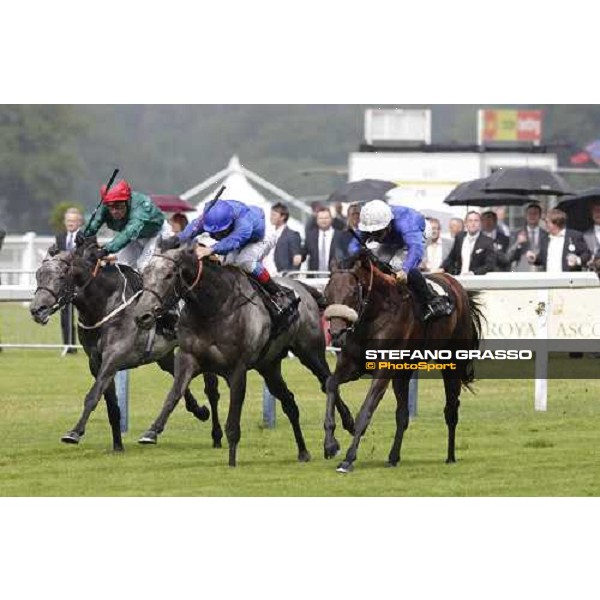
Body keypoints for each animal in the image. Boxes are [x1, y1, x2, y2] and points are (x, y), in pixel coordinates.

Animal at [28, 238, 220, 450]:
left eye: (61, 276)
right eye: (38, 275)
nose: (37, 310)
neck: (104, 305)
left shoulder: (114, 357)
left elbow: (93, 395)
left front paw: (74, 432)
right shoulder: (96, 362)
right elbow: (111, 404)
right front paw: (118, 446)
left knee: (212, 390)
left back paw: (217, 436)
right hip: (164, 355)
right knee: (179, 379)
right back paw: (199, 411)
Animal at [135, 246, 356, 466]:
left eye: (169, 275)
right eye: (145, 275)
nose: (142, 316)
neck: (213, 307)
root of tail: (302, 287)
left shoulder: (238, 368)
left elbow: (233, 416)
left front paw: (232, 460)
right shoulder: (188, 358)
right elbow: (174, 394)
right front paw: (152, 431)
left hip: (311, 353)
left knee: (327, 381)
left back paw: (341, 433)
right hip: (269, 366)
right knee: (290, 403)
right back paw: (303, 451)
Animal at [324, 250, 482, 474]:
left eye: (353, 292)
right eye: (327, 293)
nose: (337, 335)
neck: (376, 314)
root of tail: (457, 287)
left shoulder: (383, 370)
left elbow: (366, 409)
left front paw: (348, 459)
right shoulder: (352, 365)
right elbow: (330, 384)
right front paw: (330, 444)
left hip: (451, 364)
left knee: (451, 409)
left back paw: (451, 456)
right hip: (403, 373)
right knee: (403, 415)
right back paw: (393, 457)